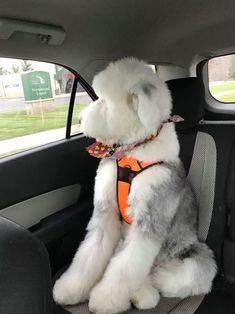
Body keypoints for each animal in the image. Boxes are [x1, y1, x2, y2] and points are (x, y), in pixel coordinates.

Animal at [53, 57, 217, 312]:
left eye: (103, 100)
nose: (79, 120)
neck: (132, 153)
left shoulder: (148, 220)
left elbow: (125, 268)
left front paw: (104, 300)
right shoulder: (105, 213)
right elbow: (89, 254)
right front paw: (70, 288)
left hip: (195, 260)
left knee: (165, 276)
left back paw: (147, 291)